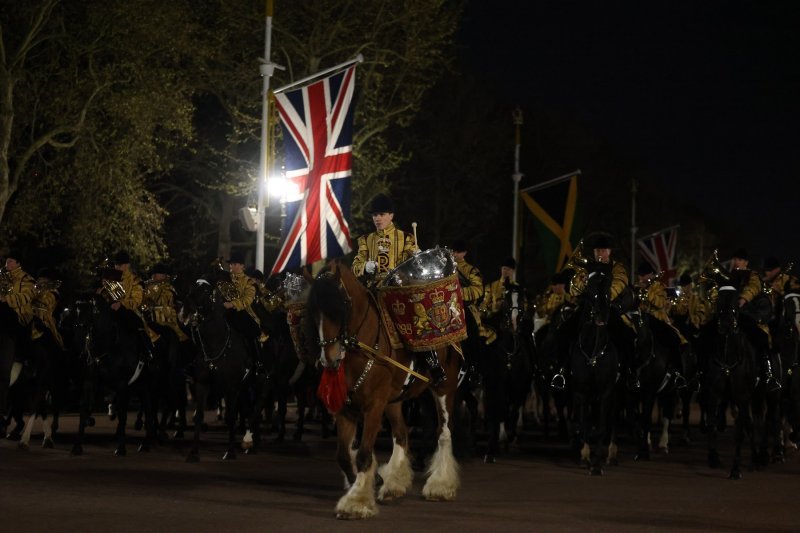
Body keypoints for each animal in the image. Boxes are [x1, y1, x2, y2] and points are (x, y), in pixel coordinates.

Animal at [310, 249, 466, 520]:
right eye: (315, 310)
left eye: (342, 305)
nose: (329, 358)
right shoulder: (346, 409)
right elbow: (344, 456)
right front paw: (368, 484)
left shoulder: (373, 406)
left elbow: (363, 455)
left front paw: (356, 502)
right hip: (394, 402)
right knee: (401, 435)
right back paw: (394, 483)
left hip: (444, 390)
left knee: (444, 433)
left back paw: (440, 485)